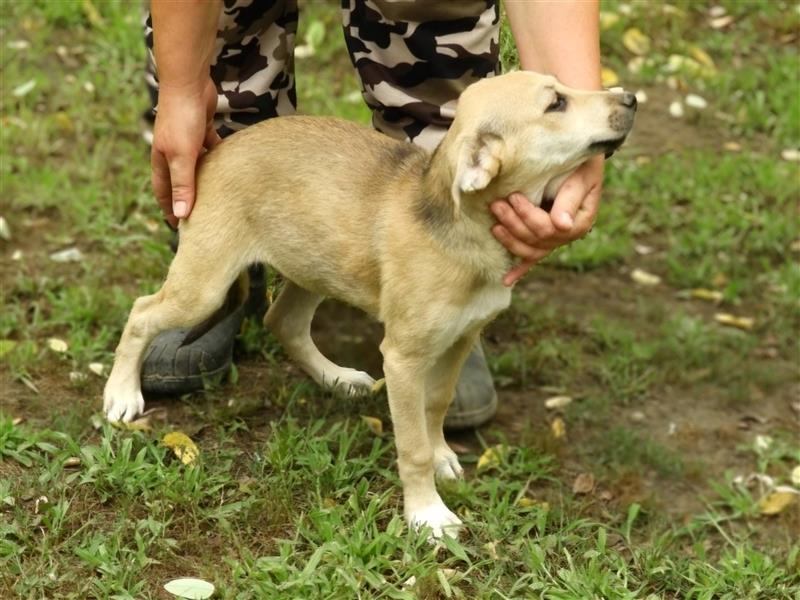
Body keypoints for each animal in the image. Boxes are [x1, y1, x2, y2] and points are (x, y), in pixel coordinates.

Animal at [104, 72, 636, 536]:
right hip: (205, 285)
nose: (630, 98)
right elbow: (411, 447)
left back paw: (337, 378)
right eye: (556, 104)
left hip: (318, 262)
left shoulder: (460, 339)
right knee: (142, 312)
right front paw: (427, 514)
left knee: (284, 321)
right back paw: (121, 395)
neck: (465, 229)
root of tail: (213, 153)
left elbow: (435, 405)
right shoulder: (402, 358)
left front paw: (441, 453)